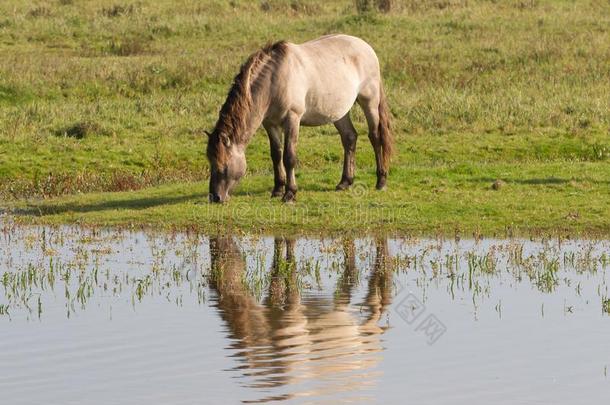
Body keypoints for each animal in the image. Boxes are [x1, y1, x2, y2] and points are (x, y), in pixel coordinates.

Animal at [207, 33, 392, 204]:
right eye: (210, 162)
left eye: (223, 166)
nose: (215, 197)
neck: (274, 80)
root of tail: (366, 46)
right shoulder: (270, 124)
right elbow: (276, 154)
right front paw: (277, 189)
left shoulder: (292, 119)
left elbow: (289, 157)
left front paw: (290, 193)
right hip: (339, 112)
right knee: (349, 138)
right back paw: (345, 182)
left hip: (370, 102)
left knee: (375, 137)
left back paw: (381, 181)